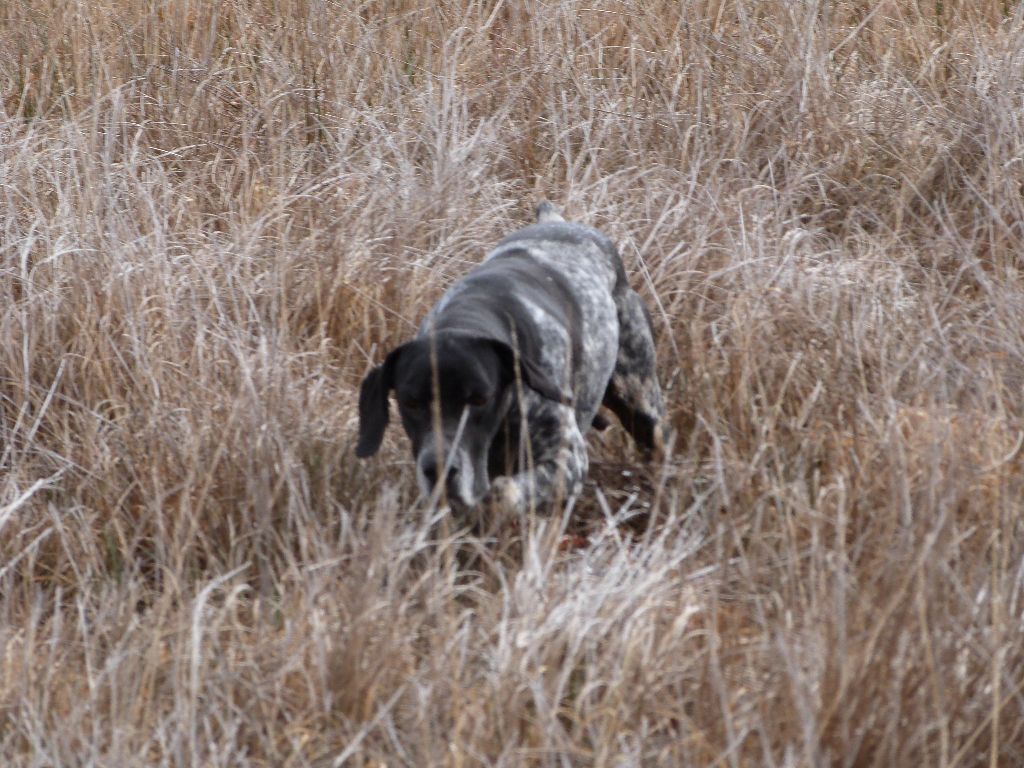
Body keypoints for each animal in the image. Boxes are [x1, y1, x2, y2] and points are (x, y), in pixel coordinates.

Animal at [356, 201, 667, 520]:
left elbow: (503, 493)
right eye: (411, 403)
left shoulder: (568, 460)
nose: (440, 469)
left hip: (641, 406)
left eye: (480, 400)